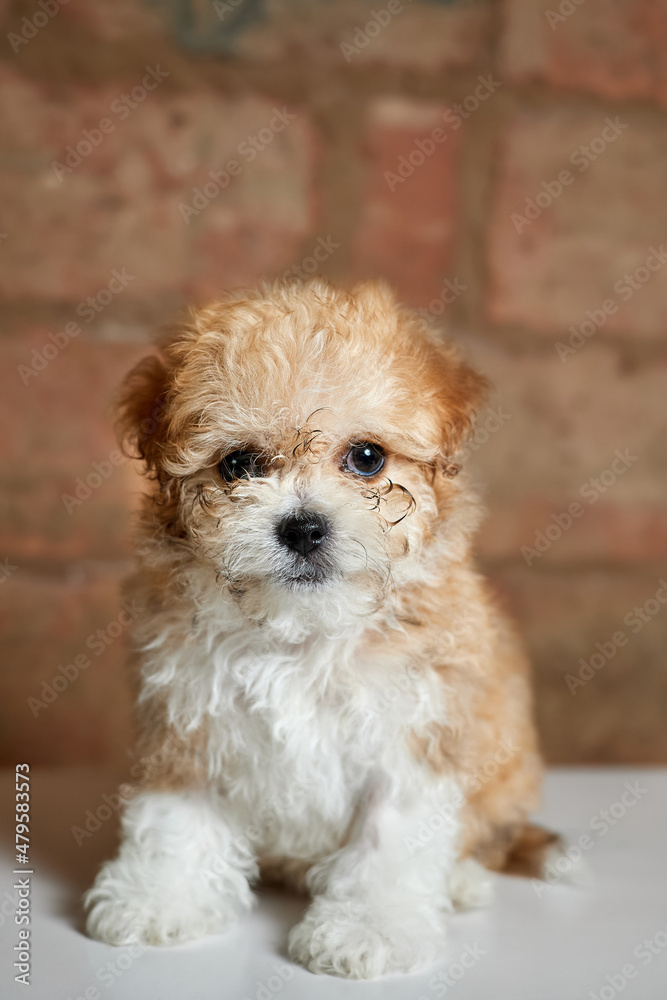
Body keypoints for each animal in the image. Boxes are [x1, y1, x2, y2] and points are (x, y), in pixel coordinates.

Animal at [87, 280, 560, 976]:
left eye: (366, 458)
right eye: (238, 465)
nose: (304, 527)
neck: (303, 630)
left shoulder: (411, 734)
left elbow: (389, 843)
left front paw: (369, 930)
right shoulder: (187, 718)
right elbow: (174, 816)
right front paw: (157, 899)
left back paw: (460, 880)